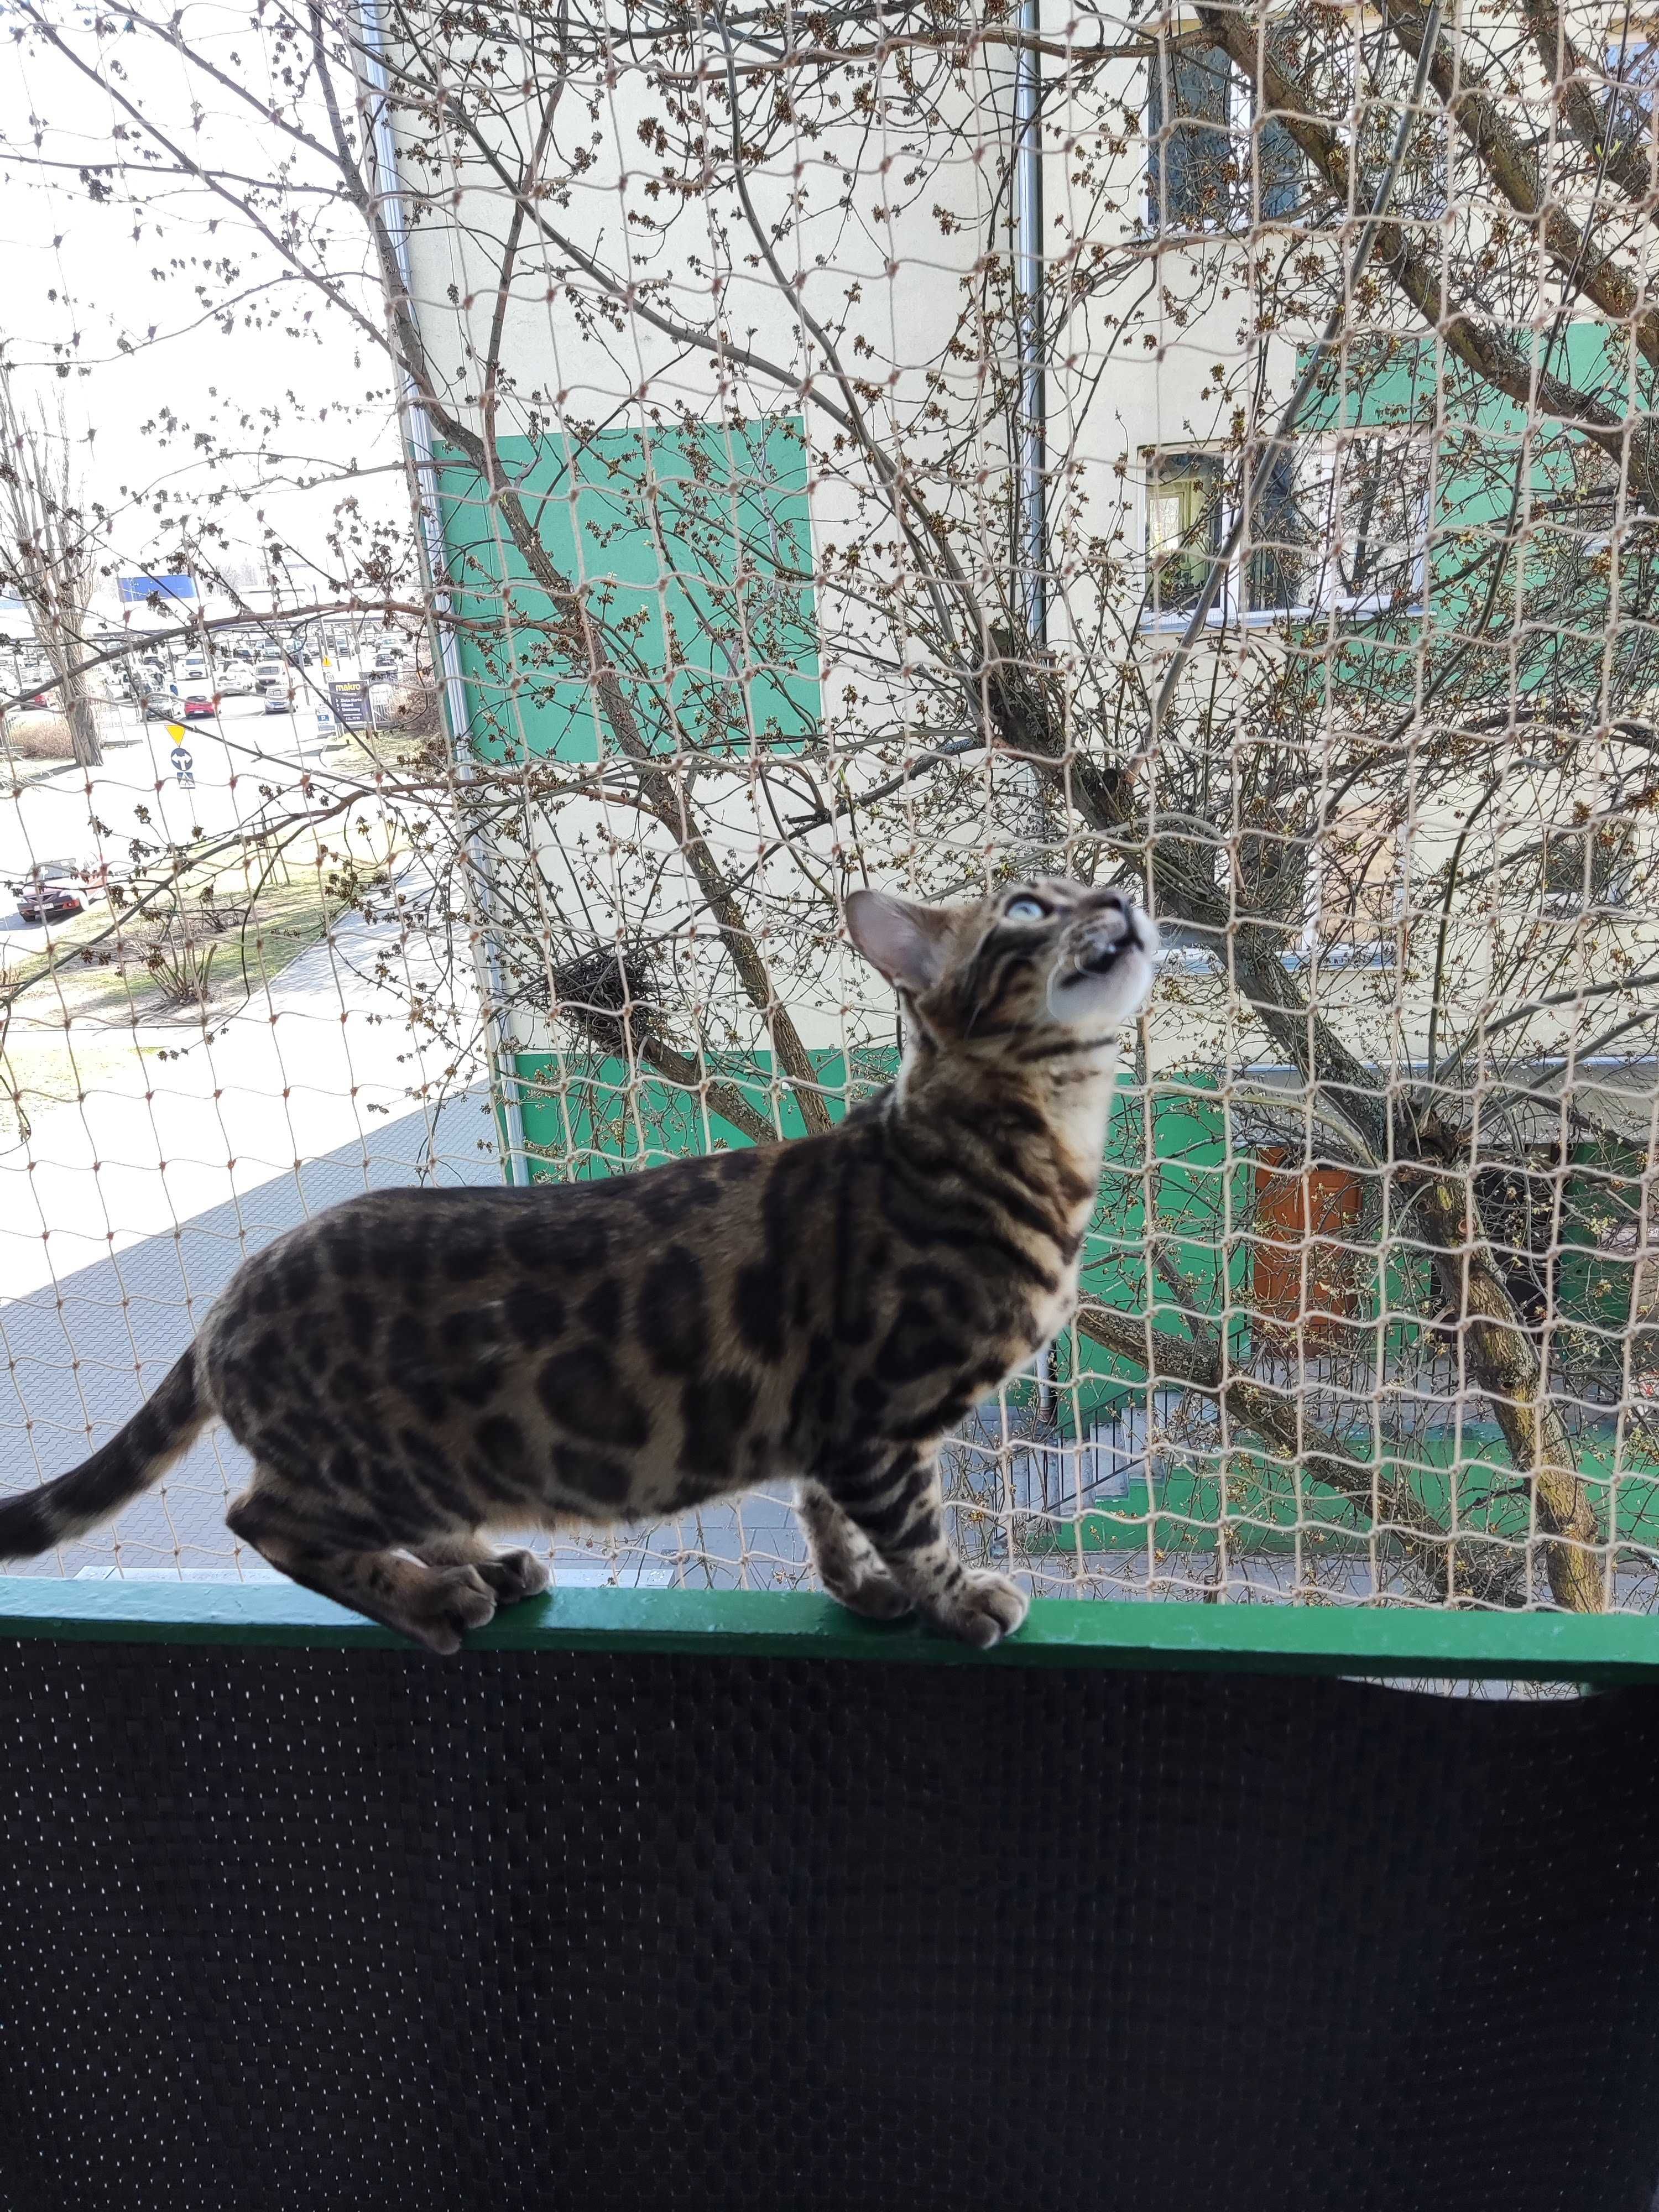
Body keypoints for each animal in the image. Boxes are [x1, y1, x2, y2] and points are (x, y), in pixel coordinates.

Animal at [0, 876, 1159, 1646]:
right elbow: (916, 1527)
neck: (1035, 1137)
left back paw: (487, 1565)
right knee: (263, 1518)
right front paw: (957, 1598)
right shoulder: (877, 1413)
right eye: (1028, 907)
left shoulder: (828, 1428)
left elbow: (820, 1512)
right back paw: (428, 1600)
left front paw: (859, 1589)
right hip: (381, 1466)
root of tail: (225, 1305)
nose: (1123, 886)